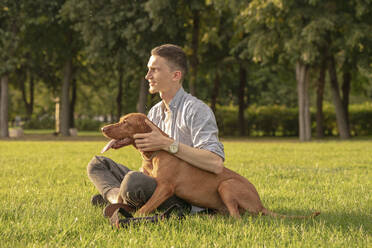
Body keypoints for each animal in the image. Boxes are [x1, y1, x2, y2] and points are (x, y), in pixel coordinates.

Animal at [101, 113, 320, 218]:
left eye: (125, 122)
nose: (102, 128)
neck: (155, 153)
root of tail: (260, 205)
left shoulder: (164, 187)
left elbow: (144, 209)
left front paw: (133, 219)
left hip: (226, 185)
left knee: (237, 218)